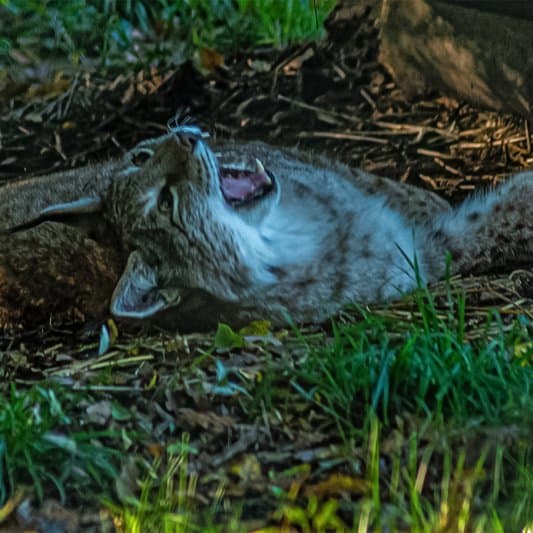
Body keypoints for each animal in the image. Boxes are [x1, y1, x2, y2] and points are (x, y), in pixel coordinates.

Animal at [1, 125, 532, 330]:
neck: (277, 238)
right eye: (167, 203)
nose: (184, 136)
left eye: (141, 156)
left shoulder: (313, 167)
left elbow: (390, 189)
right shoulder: (421, 255)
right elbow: (492, 224)